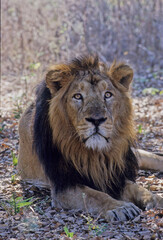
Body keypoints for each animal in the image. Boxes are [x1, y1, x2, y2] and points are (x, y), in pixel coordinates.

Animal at [18, 54, 163, 221]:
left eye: (107, 94)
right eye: (77, 96)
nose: (97, 120)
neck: (96, 153)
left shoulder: (114, 175)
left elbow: (139, 189)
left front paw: (157, 199)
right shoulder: (64, 186)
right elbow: (95, 196)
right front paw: (120, 207)